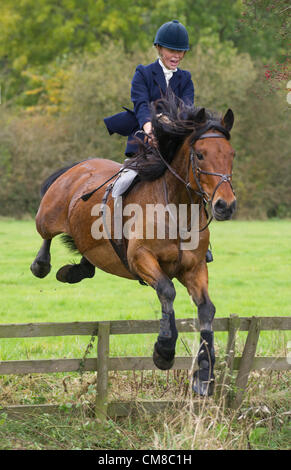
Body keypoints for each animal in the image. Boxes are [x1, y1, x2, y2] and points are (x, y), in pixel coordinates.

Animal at [30, 95, 237, 396]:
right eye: (200, 155)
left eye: (231, 155)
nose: (225, 205)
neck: (178, 211)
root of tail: (81, 165)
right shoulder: (142, 259)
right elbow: (167, 290)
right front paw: (164, 351)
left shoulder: (194, 267)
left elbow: (206, 309)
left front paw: (203, 375)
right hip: (49, 213)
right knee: (44, 235)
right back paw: (42, 265)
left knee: (87, 258)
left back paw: (73, 271)